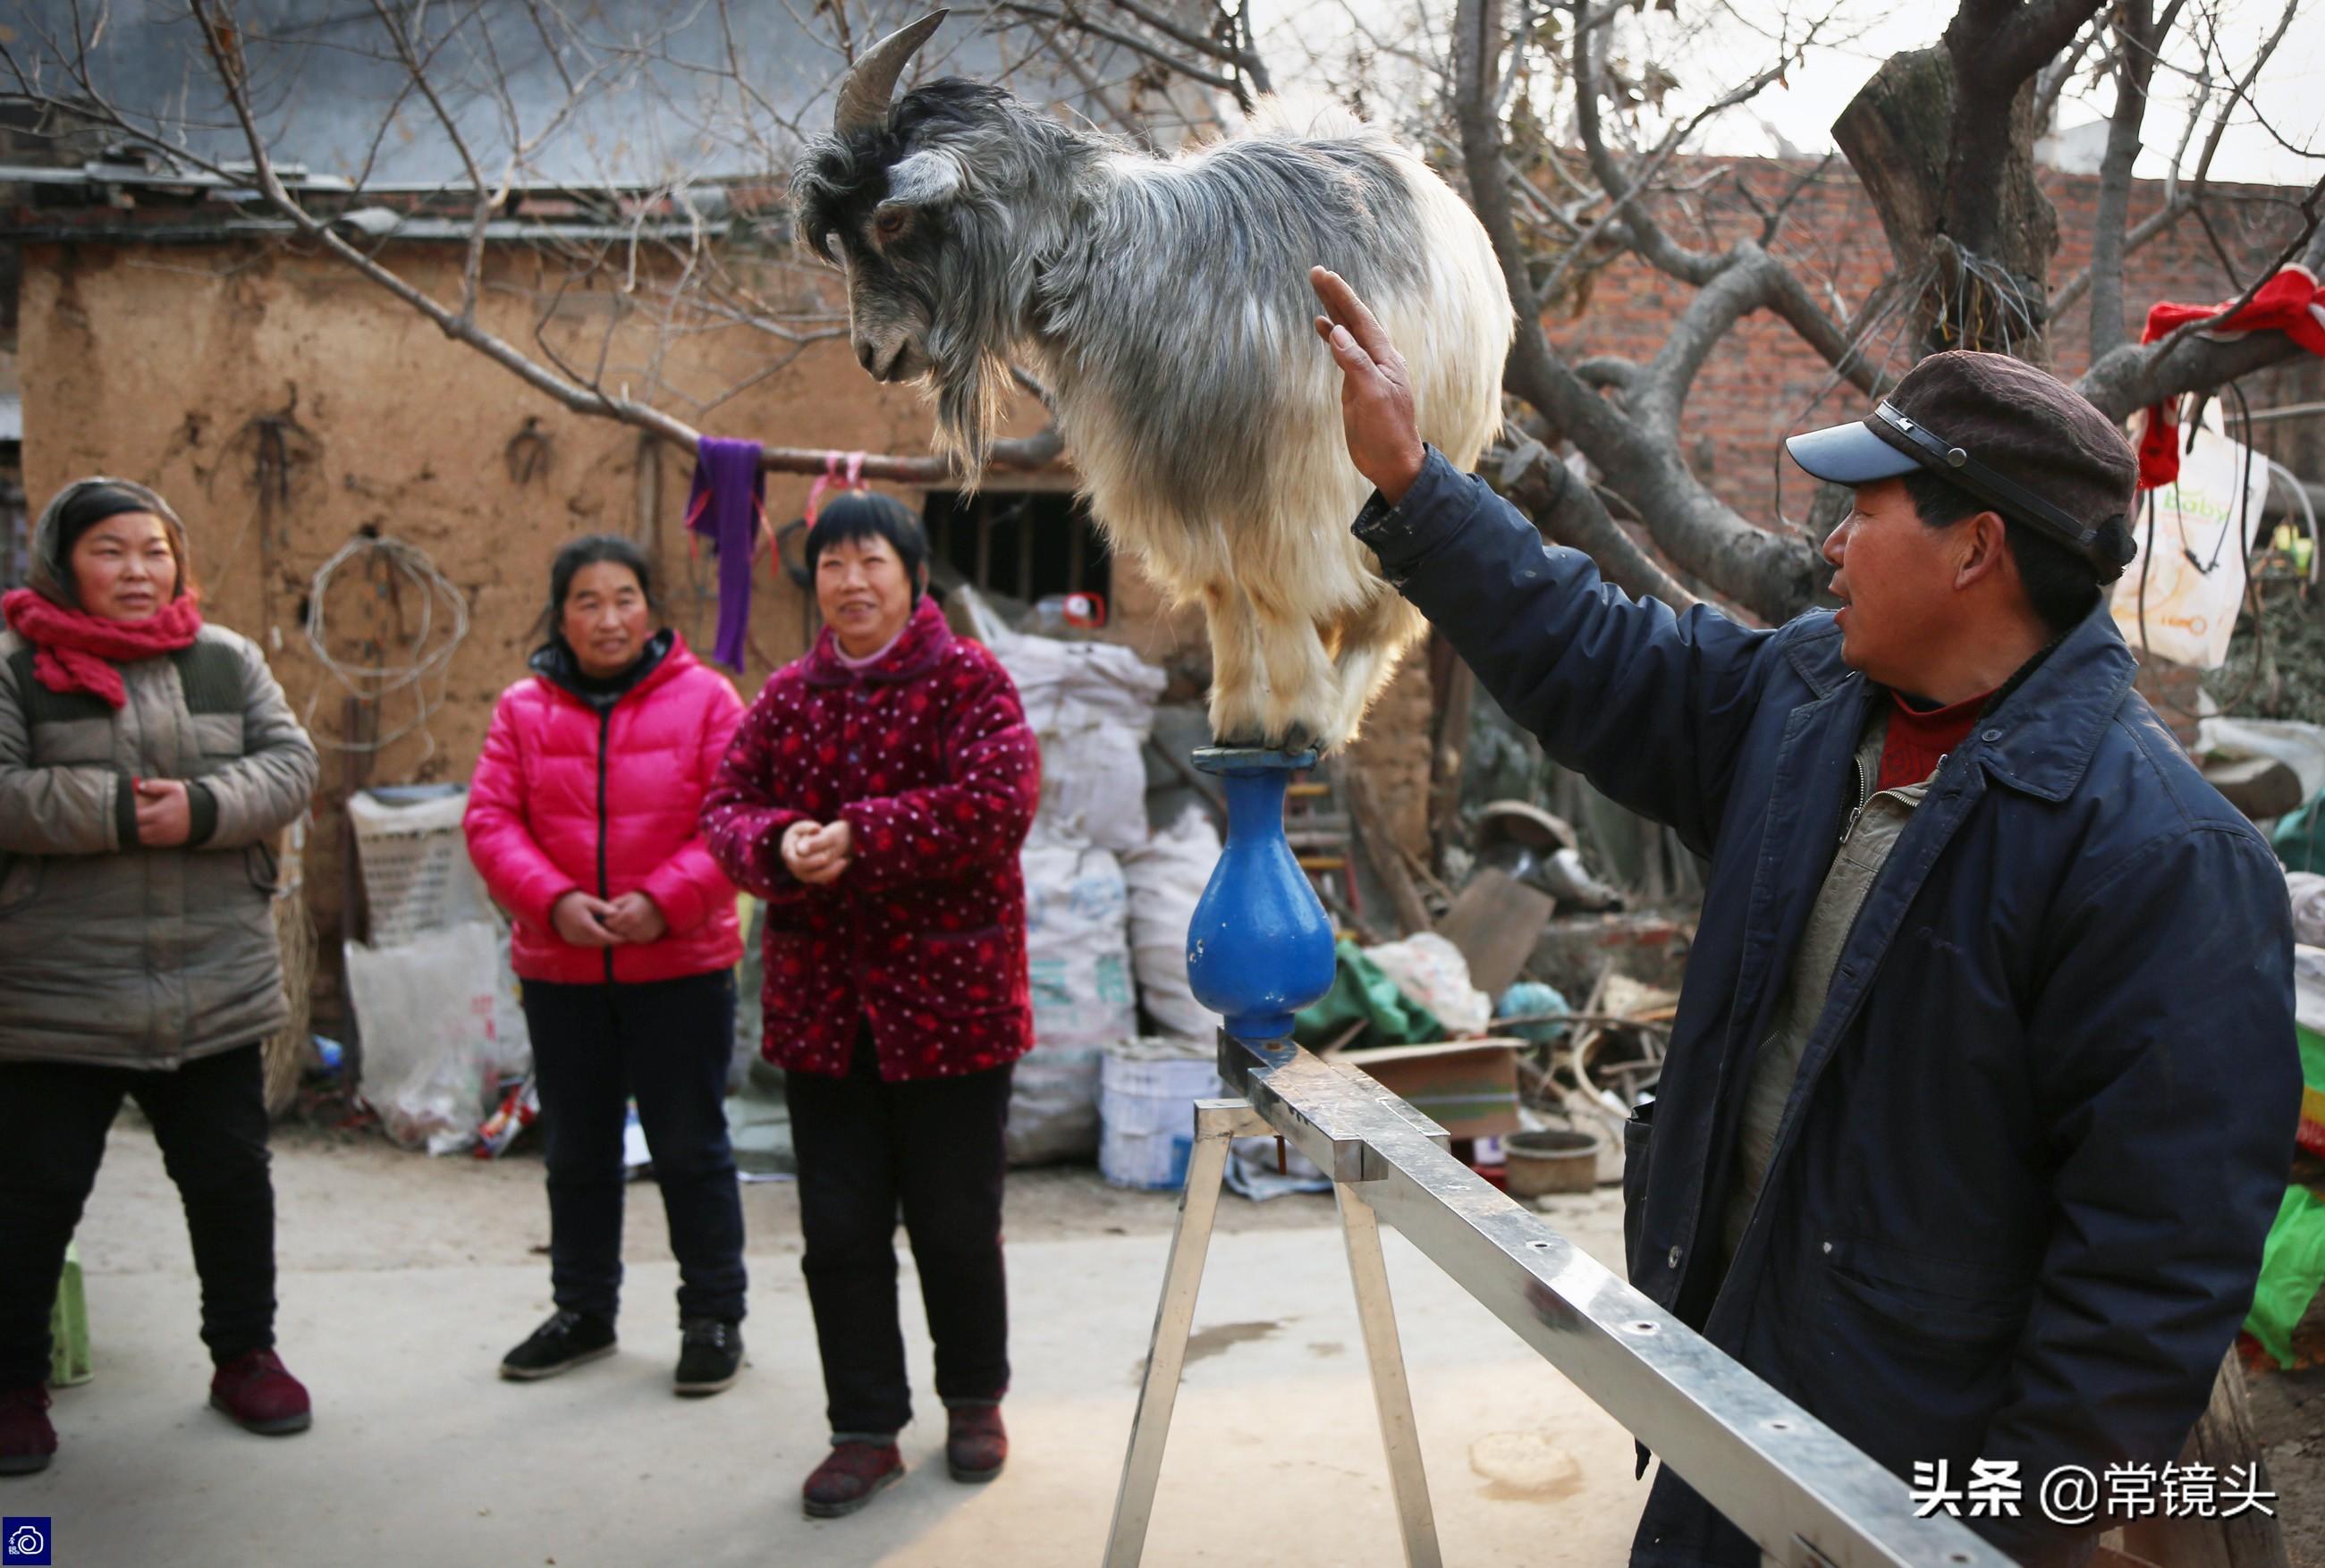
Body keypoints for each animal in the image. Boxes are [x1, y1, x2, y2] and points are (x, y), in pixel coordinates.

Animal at [790, 11, 1516, 747]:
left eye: (890, 217)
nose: (872, 353)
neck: (1118, 262)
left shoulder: (1286, 480)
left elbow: (1271, 584)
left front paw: (1297, 715)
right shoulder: (1173, 472)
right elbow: (1226, 588)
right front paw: (1237, 717)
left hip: (1433, 444)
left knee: (1390, 608)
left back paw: (1337, 711)